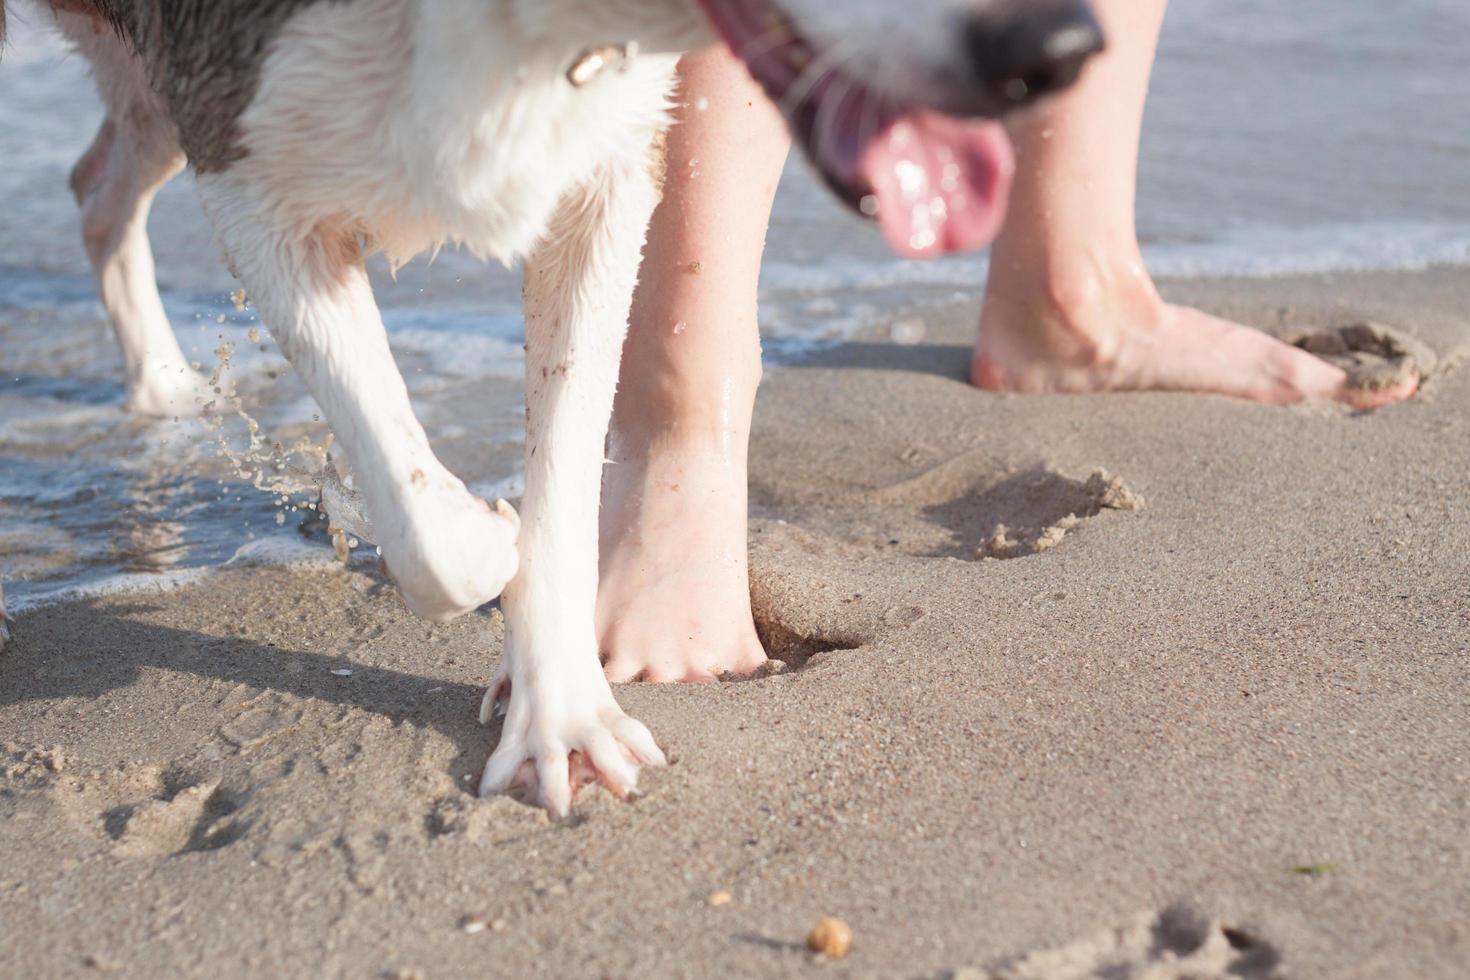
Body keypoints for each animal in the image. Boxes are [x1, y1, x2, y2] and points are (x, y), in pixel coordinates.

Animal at [0, 0, 1105, 811]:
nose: (1059, 44)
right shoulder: (244, 149)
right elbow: (421, 508)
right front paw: (487, 533)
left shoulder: (610, 155)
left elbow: (567, 471)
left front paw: (561, 710)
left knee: (98, 181)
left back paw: (159, 387)